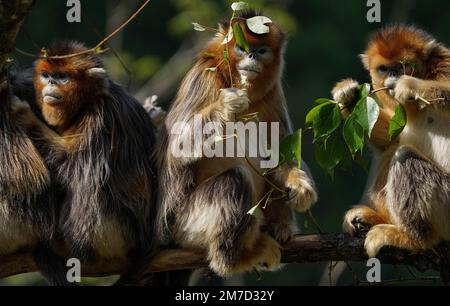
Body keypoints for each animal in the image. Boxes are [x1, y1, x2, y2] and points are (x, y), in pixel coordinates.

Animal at [330, 25, 450, 256]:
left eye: (403, 65)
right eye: (384, 69)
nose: (394, 75)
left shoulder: (446, 66)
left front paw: (408, 85)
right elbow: (391, 138)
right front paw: (349, 95)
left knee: (404, 155)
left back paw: (414, 239)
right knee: (391, 150)